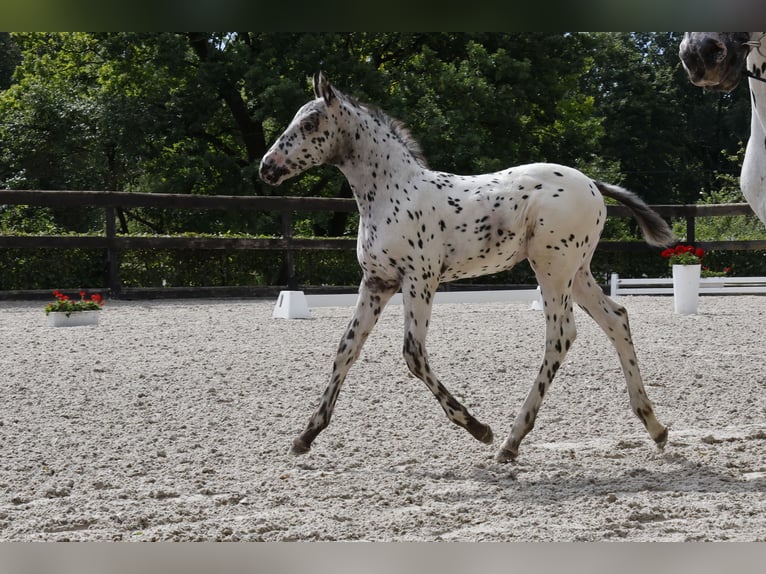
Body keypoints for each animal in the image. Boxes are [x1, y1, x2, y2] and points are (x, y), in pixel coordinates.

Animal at [260, 74, 676, 466]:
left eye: (310, 122)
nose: (268, 167)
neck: (392, 195)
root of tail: (591, 182)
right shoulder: (377, 282)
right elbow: (346, 349)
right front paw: (305, 436)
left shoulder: (420, 280)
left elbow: (413, 354)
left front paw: (478, 428)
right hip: (577, 272)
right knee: (616, 319)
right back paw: (655, 427)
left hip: (552, 269)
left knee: (561, 336)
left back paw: (511, 440)